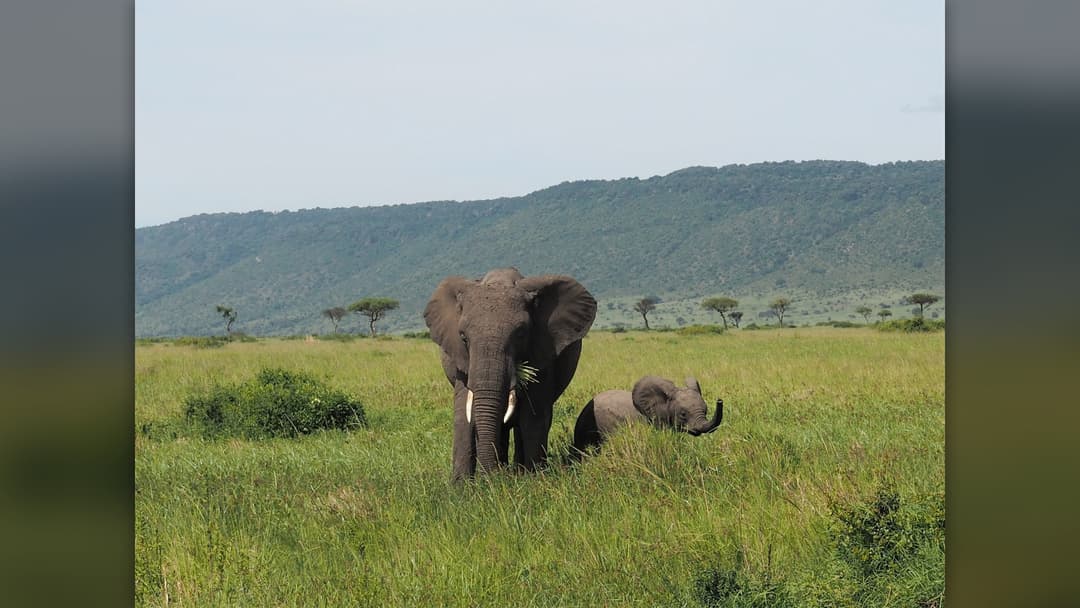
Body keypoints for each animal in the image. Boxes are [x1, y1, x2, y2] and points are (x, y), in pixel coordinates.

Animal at [425, 268, 597, 480]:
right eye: (463, 337)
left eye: (521, 334)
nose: (491, 478)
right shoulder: (461, 360)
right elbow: (463, 414)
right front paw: (462, 486)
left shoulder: (543, 349)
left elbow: (533, 415)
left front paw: (533, 479)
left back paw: (517, 471)